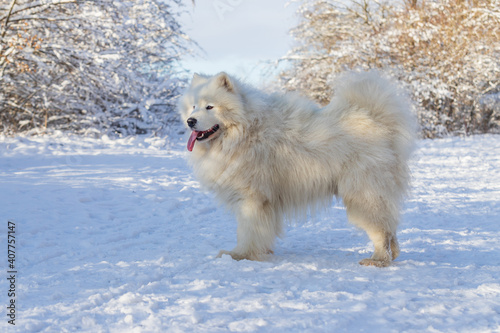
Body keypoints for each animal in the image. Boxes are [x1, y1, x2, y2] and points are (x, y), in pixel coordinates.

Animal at [178, 71, 416, 266]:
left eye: (210, 106)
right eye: (193, 106)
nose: (190, 121)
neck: (245, 130)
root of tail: (376, 119)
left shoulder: (252, 198)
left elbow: (247, 230)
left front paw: (241, 255)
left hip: (362, 193)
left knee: (381, 229)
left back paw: (378, 259)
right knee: (389, 226)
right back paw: (392, 254)